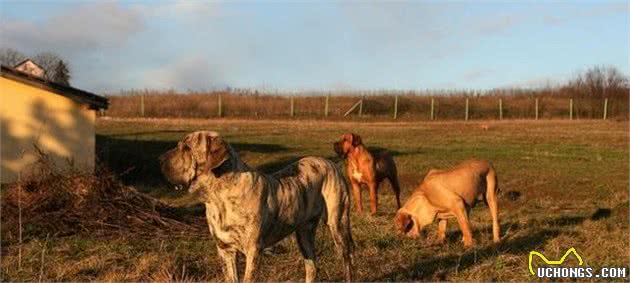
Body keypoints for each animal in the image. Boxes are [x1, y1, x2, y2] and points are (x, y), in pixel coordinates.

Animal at [160, 132, 354, 282]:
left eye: (187, 148)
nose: (160, 158)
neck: (218, 197)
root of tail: (330, 162)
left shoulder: (253, 250)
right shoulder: (225, 250)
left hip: (337, 224)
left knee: (347, 261)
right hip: (304, 235)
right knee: (312, 267)